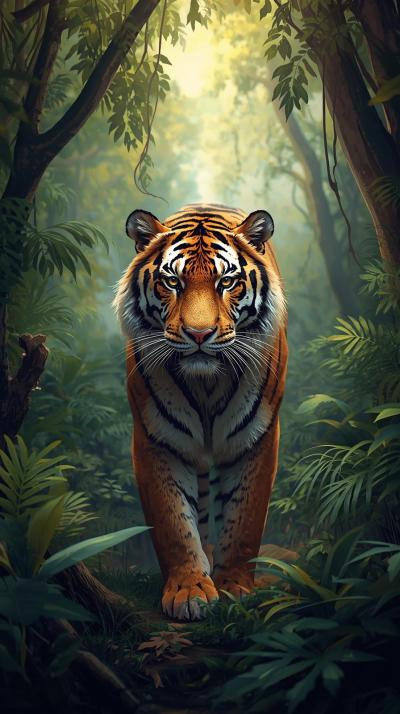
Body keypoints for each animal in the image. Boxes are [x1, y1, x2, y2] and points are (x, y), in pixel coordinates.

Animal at [114, 203, 288, 621]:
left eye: (226, 282)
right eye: (172, 282)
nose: (198, 334)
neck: (207, 384)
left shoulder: (257, 438)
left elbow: (244, 522)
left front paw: (235, 588)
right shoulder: (157, 438)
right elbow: (174, 524)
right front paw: (189, 591)